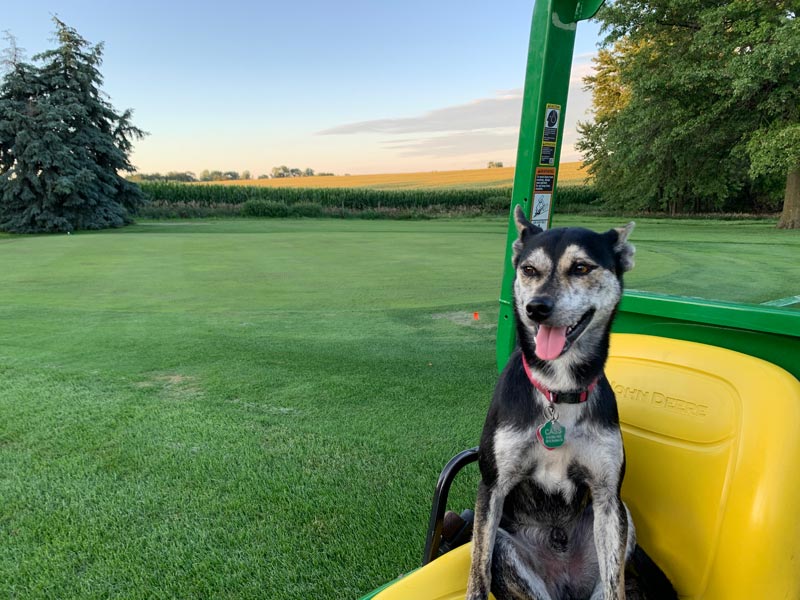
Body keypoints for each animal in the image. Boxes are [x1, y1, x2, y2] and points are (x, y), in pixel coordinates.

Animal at [462, 207, 676, 600]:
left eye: (581, 267)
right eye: (529, 269)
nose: (536, 308)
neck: (558, 389)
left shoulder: (607, 496)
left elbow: (615, 585)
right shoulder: (492, 487)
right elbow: (477, 575)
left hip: (622, 520)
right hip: (508, 549)